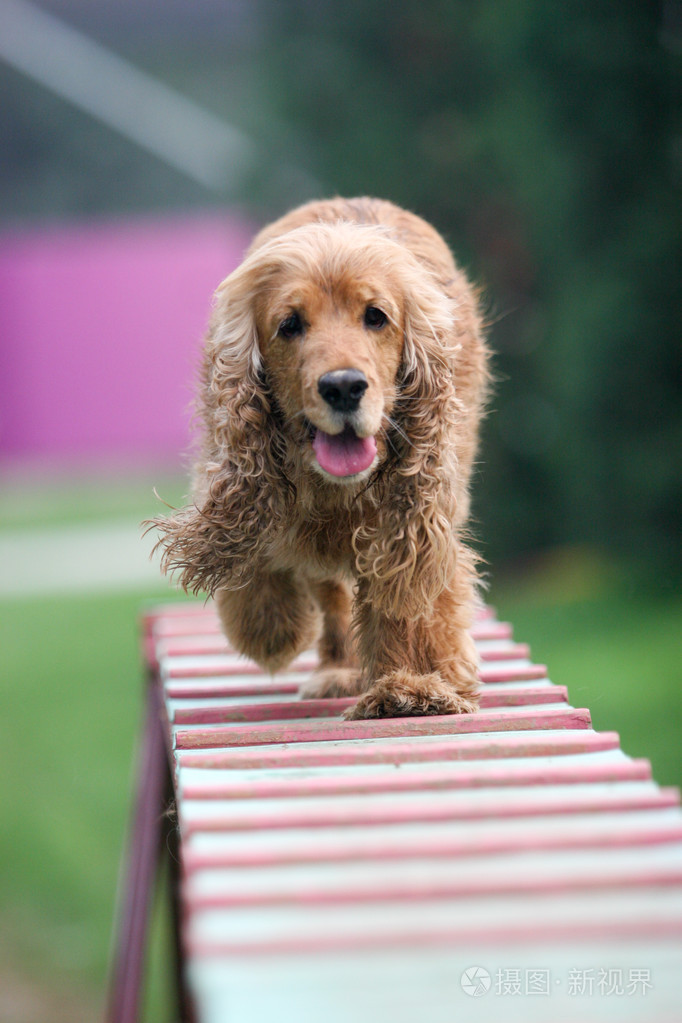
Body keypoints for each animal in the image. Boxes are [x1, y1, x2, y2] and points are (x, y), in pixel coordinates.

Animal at [153, 195, 490, 716]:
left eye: (376, 316)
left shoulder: (418, 513)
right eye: (289, 325)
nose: (343, 387)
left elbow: (407, 591)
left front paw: (412, 685)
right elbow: (262, 538)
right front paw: (270, 624)